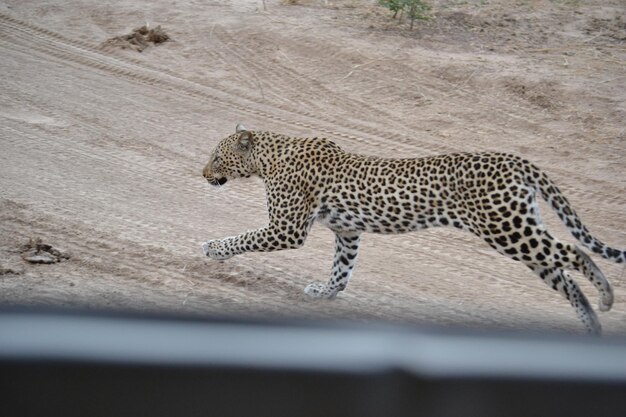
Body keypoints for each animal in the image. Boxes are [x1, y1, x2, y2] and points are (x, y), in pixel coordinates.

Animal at [202, 124, 620, 334]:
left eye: (215, 156)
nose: (203, 173)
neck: (268, 157)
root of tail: (514, 159)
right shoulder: (348, 232)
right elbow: (341, 270)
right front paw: (325, 292)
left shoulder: (286, 229)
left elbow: (245, 237)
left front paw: (211, 249)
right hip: (519, 230)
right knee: (562, 275)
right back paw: (592, 325)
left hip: (506, 230)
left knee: (575, 253)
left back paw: (606, 298)